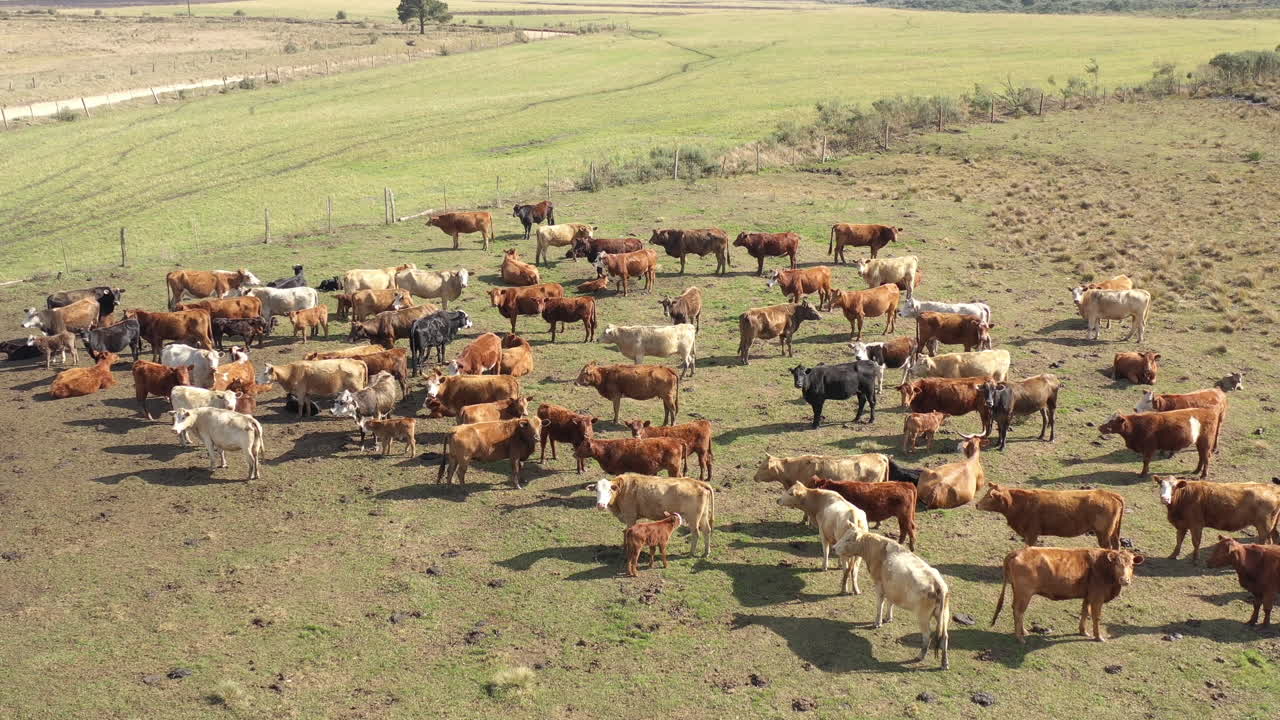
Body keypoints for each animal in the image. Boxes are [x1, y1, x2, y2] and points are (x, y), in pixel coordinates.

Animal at [832, 530, 949, 669]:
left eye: (848, 539)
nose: (833, 548)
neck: (876, 548)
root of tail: (937, 583)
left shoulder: (879, 584)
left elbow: (880, 604)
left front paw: (877, 623)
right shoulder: (891, 588)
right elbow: (890, 602)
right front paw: (888, 618)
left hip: (923, 617)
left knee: (927, 635)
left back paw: (920, 656)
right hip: (943, 615)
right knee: (944, 637)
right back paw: (944, 663)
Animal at [977, 484, 1126, 549]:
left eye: (989, 497)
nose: (977, 504)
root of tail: (1109, 494)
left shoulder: (1031, 533)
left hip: (1103, 534)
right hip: (1112, 532)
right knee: (1116, 545)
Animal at [992, 547, 1144, 643]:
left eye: (1132, 565)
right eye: (1117, 564)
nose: (1124, 580)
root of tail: (1017, 552)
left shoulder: (1088, 595)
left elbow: (1085, 612)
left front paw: (1083, 631)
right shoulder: (1097, 597)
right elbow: (1096, 617)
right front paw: (1099, 637)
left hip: (1018, 591)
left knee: (1016, 609)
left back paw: (1023, 632)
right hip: (1025, 593)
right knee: (1019, 611)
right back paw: (1020, 638)